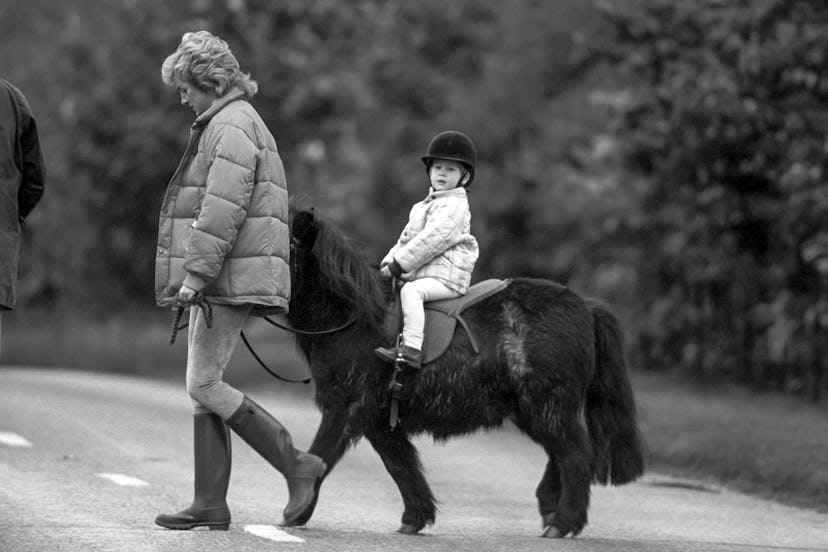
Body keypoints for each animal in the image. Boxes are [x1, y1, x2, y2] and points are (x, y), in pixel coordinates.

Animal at [284, 209, 648, 536]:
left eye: (287, 241)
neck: (355, 318)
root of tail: (585, 306)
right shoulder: (379, 420)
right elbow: (400, 464)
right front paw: (415, 517)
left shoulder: (347, 409)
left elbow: (320, 455)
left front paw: (295, 512)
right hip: (537, 411)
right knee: (561, 455)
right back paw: (550, 509)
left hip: (548, 407)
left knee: (575, 455)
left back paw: (563, 522)